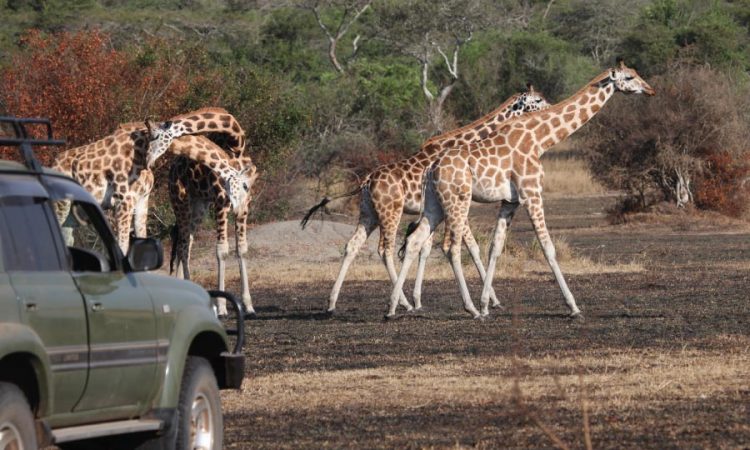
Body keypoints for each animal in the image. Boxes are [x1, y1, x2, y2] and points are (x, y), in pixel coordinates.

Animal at [171, 154, 262, 316]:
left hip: (199, 206)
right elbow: (222, 250)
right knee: (183, 248)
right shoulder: (221, 205)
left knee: (184, 245)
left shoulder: (244, 209)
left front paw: (248, 306)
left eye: (246, 187)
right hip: (181, 204)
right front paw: (221, 307)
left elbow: (242, 249)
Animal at [302, 86, 556, 314]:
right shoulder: (456, 208)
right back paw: (401, 303)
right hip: (390, 212)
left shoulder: (436, 211)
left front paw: (419, 300)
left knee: (352, 245)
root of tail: (365, 182)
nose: (551, 110)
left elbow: (423, 248)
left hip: (369, 213)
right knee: (384, 250)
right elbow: (472, 248)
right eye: (538, 100)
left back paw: (332, 304)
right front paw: (491, 300)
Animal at [390, 59, 656, 318]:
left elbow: (495, 247)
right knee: (450, 247)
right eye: (630, 77)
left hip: (434, 204)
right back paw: (469, 309)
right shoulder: (532, 192)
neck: (540, 139)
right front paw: (573, 307)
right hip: (457, 200)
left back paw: (396, 307)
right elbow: (548, 248)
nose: (650, 90)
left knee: (414, 241)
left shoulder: (510, 201)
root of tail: (431, 168)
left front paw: (487, 304)